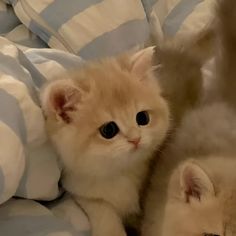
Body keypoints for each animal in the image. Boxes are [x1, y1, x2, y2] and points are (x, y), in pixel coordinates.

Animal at [40, 47, 170, 236]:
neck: (119, 172)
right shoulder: (79, 189)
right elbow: (102, 209)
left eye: (142, 118)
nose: (135, 139)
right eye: (109, 130)